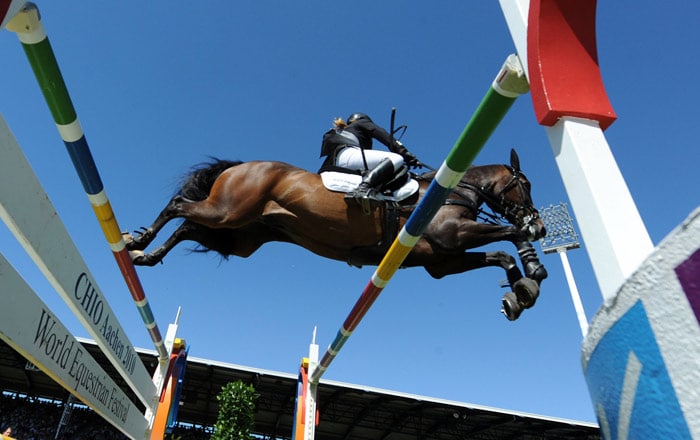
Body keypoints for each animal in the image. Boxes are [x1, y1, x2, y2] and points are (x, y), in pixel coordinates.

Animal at [129, 149, 548, 320]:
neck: (454, 191)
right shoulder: (453, 236)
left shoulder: (441, 261)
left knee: (187, 226)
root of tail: (240, 166)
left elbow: (501, 256)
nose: (542, 223)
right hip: (228, 211)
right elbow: (509, 233)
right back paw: (138, 242)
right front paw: (534, 268)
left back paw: (146, 256)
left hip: (239, 234)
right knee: (177, 206)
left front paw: (520, 292)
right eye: (525, 185)